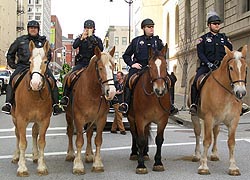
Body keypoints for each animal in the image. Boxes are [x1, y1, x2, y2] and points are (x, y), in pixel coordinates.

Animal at [10, 40, 52, 176]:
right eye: (29, 62)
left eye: (45, 61)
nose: (35, 84)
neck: (34, 95)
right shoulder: (21, 120)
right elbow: (23, 142)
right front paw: (22, 167)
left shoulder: (44, 120)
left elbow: (41, 142)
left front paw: (41, 166)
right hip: (15, 119)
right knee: (17, 135)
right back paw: (16, 156)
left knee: (34, 133)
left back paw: (35, 156)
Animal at [64, 46, 115, 174]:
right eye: (100, 67)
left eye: (113, 66)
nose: (111, 92)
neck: (92, 92)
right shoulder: (78, 118)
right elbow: (79, 141)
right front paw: (78, 165)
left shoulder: (101, 118)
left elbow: (97, 140)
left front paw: (97, 163)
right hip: (69, 116)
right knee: (70, 131)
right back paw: (70, 154)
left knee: (89, 134)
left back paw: (89, 155)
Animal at [127, 44, 170, 174]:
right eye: (150, 66)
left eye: (165, 65)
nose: (159, 90)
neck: (154, 98)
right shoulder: (140, 119)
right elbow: (140, 139)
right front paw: (140, 165)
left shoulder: (163, 120)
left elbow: (159, 140)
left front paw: (158, 162)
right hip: (131, 119)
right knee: (134, 134)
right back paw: (135, 153)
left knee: (145, 134)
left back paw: (145, 154)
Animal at [188, 45, 248, 176]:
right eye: (231, 67)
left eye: (246, 68)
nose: (240, 93)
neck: (226, 93)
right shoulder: (208, 118)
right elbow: (206, 140)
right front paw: (203, 166)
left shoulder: (234, 120)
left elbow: (231, 142)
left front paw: (233, 167)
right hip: (196, 117)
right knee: (198, 133)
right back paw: (197, 155)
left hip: (217, 120)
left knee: (215, 133)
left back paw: (214, 154)